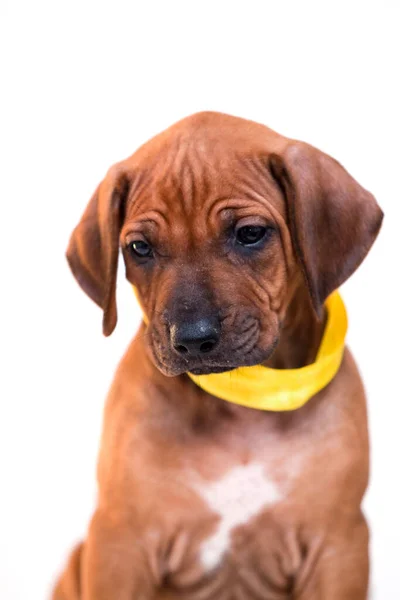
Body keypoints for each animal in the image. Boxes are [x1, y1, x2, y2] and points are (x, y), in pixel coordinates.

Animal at [53, 113, 382, 600]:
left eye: (250, 234)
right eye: (139, 248)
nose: (191, 339)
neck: (243, 403)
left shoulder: (338, 547)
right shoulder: (119, 542)